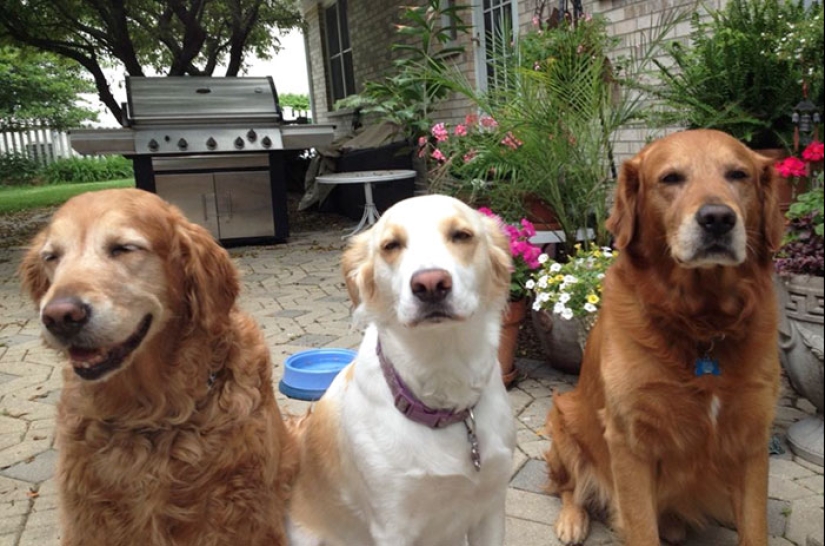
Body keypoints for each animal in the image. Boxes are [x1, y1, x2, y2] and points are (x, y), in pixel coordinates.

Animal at [17, 188, 296, 544]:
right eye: (52, 257)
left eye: (123, 248)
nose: (59, 317)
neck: (152, 411)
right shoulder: (89, 517)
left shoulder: (243, 512)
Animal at [544, 131, 784, 544]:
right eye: (671, 178)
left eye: (738, 175)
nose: (718, 219)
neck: (701, 323)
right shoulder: (629, 439)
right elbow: (641, 526)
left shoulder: (752, 435)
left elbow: (755, 526)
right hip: (564, 416)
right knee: (569, 487)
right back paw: (572, 520)